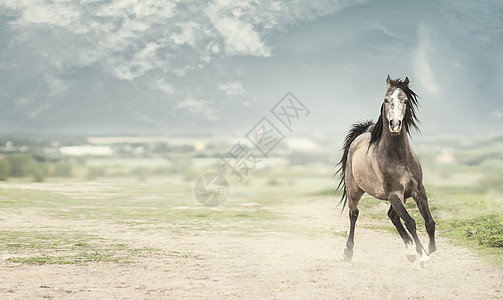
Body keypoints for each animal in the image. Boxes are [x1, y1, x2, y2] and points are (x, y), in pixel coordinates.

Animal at [338, 76, 438, 266]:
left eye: (405, 100)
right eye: (386, 100)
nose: (395, 125)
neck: (400, 158)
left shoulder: (418, 190)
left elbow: (429, 222)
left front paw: (430, 249)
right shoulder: (394, 194)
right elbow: (411, 222)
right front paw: (423, 255)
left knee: (393, 216)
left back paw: (409, 252)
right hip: (354, 191)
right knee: (354, 214)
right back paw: (347, 252)